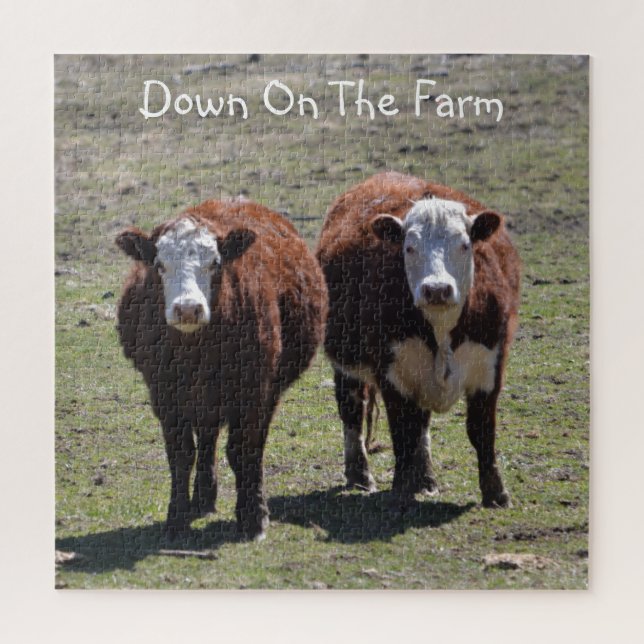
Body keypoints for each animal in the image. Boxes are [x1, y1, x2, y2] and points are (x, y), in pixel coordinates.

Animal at [116, 198, 327, 541]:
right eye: (159, 265)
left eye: (214, 263)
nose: (188, 308)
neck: (195, 349)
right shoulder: (163, 393)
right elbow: (180, 454)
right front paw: (176, 518)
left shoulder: (254, 389)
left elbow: (244, 450)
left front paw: (253, 517)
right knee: (207, 436)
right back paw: (203, 495)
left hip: (264, 392)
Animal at [317, 172, 521, 508]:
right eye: (409, 247)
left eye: (465, 244)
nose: (436, 289)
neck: (441, 330)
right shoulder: (392, 374)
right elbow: (402, 433)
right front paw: (400, 489)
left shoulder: (490, 368)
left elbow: (481, 432)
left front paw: (496, 493)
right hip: (346, 364)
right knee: (352, 410)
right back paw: (360, 475)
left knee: (421, 425)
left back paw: (425, 478)